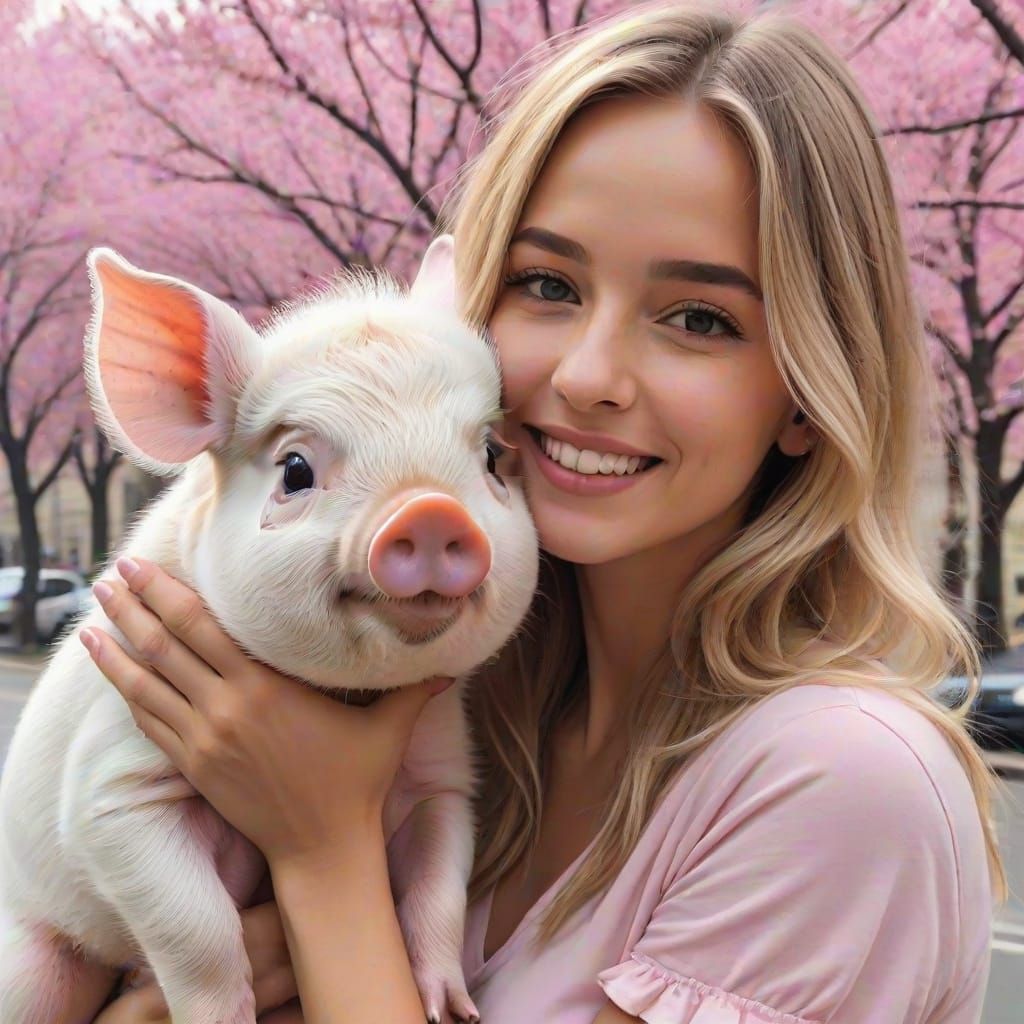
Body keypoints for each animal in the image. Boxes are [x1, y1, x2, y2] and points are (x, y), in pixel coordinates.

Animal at [0, 236, 539, 1024]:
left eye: (493, 458)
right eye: (295, 468)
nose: (432, 510)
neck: (349, 694)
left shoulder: (441, 775)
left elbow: (439, 891)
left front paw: (454, 1010)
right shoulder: (111, 784)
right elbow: (198, 928)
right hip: (32, 962)